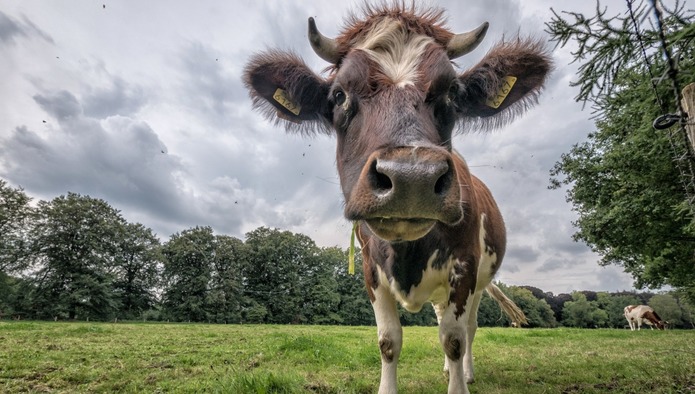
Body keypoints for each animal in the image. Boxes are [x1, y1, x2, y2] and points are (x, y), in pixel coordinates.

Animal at [242, 3, 552, 394]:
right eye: (340, 95)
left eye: (452, 93)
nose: (411, 178)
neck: (408, 253)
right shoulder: (371, 272)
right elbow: (389, 341)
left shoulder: (464, 268)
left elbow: (454, 338)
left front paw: (459, 379)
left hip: (480, 283)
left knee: (468, 328)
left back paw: (464, 372)